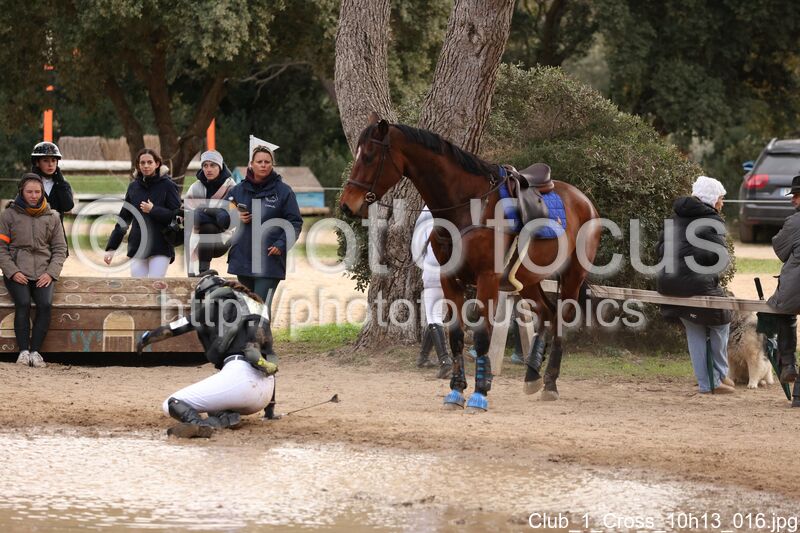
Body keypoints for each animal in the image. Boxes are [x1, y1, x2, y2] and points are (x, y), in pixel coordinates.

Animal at [340, 115, 602, 412]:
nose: (347, 204)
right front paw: (456, 390)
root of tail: (584, 200)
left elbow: (482, 336)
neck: (467, 205)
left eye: (369, 157)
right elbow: (455, 335)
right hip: (527, 280)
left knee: (561, 318)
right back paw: (533, 374)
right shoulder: (449, 280)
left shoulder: (487, 279)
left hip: (572, 276)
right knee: (547, 313)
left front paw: (480, 392)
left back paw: (550, 383)